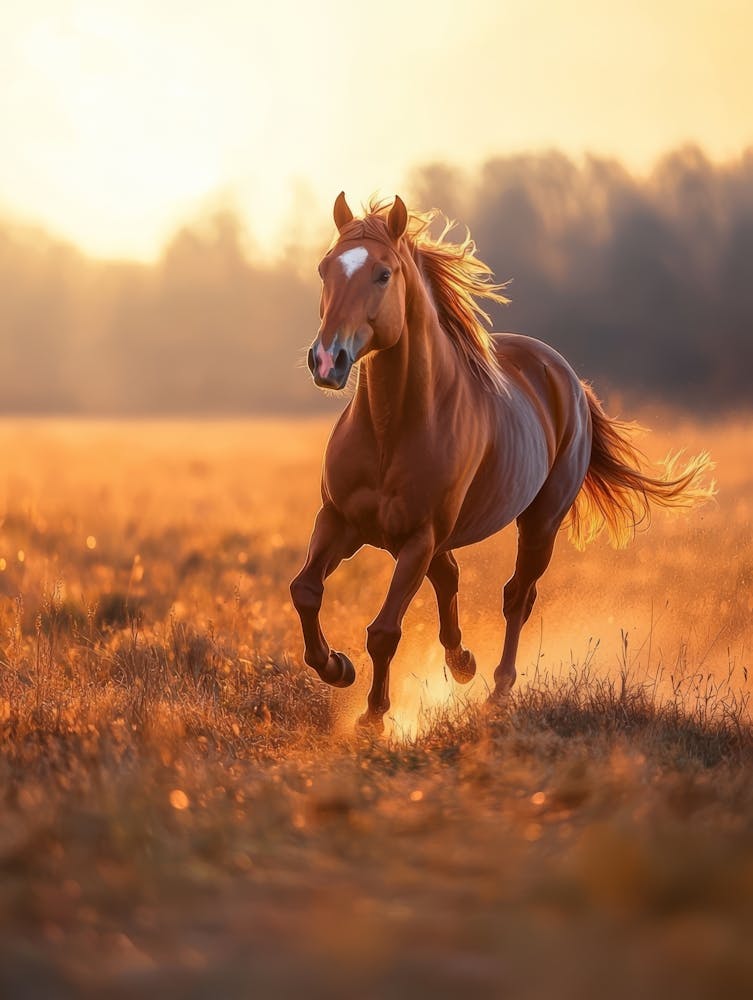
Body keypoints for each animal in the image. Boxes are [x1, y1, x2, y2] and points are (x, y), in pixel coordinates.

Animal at [290, 193, 714, 731]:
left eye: (383, 274)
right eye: (325, 268)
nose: (328, 361)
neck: (391, 428)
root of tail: (567, 378)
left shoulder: (418, 538)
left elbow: (385, 630)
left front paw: (373, 716)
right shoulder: (339, 521)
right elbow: (305, 591)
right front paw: (336, 668)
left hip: (540, 523)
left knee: (517, 597)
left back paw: (497, 690)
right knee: (451, 576)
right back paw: (463, 664)